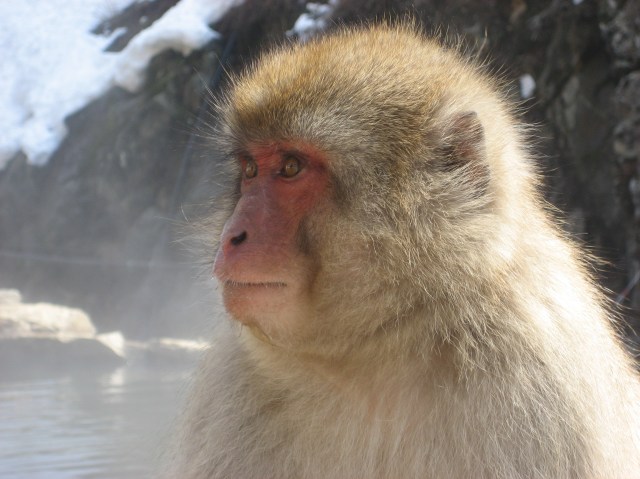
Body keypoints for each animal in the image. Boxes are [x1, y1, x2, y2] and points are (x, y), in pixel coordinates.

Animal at [167, 23, 640, 479]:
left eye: (290, 167)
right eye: (249, 169)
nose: (232, 235)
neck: (377, 351)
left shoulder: (539, 387)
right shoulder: (231, 385)